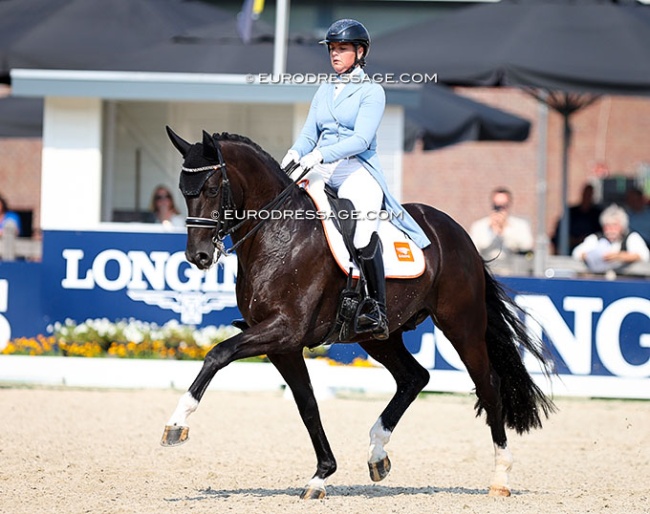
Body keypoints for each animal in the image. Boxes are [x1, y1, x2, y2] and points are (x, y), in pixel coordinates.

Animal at [161, 126, 555, 500]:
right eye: (183, 190)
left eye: (212, 188)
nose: (197, 256)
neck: (278, 233)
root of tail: (457, 232)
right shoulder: (283, 346)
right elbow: (308, 405)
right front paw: (321, 476)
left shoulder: (285, 329)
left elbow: (218, 354)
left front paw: (177, 424)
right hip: (378, 337)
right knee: (415, 377)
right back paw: (377, 453)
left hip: (462, 325)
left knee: (488, 385)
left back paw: (500, 477)